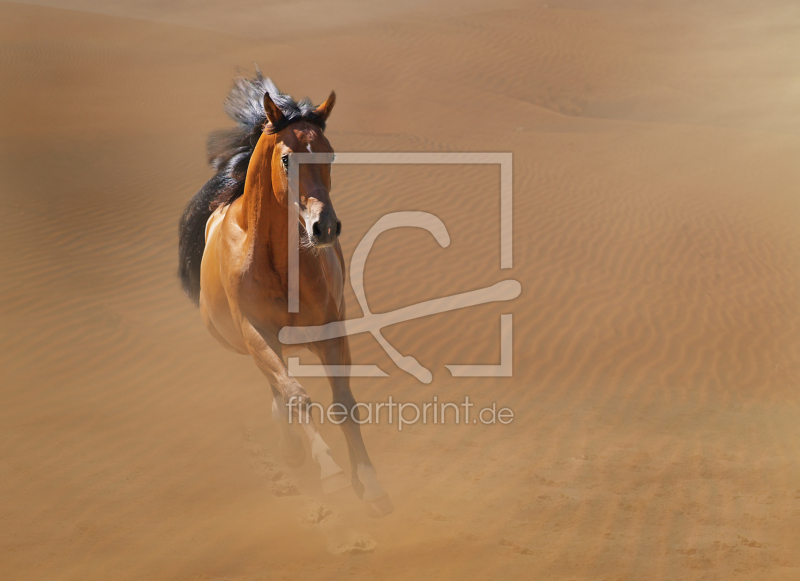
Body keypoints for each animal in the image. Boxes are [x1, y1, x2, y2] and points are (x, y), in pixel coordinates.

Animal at [180, 71, 396, 516]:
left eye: (330, 156)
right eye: (285, 159)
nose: (324, 227)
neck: (279, 262)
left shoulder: (330, 332)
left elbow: (344, 403)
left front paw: (369, 484)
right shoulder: (256, 333)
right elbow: (296, 396)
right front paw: (331, 474)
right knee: (279, 391)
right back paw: (294, 450)